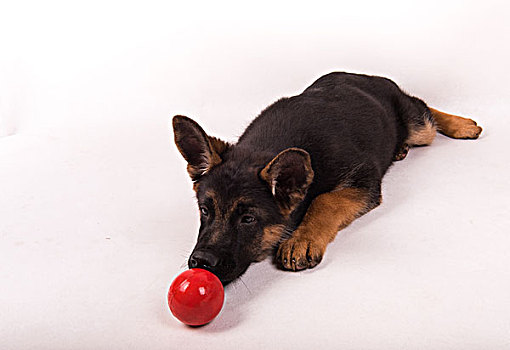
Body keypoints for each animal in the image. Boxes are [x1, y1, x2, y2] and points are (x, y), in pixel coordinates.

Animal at [172, 70, 482, 284]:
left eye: (248, 219)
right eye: (204, 211)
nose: (200, 262)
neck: (266, 148)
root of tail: (371, 76)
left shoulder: (364, 179)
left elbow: (325, 200)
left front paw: (302, 239)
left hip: (419, 128)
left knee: (425, 109)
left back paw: (462, 124)